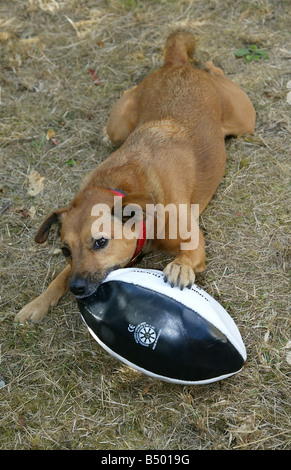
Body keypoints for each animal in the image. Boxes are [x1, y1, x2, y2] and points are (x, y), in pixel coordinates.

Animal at [17, 30, 256, 324]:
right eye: (65, 250)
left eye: (101, 242)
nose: (77, 288)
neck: (121, 186)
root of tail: (177, 65)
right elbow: (59, 277)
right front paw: (38, 303)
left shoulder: (194, 241)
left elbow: (187, 254)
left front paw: (180, 267)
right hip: (118, 126)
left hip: (245, 120)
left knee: (217, 71)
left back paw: (212, 66)